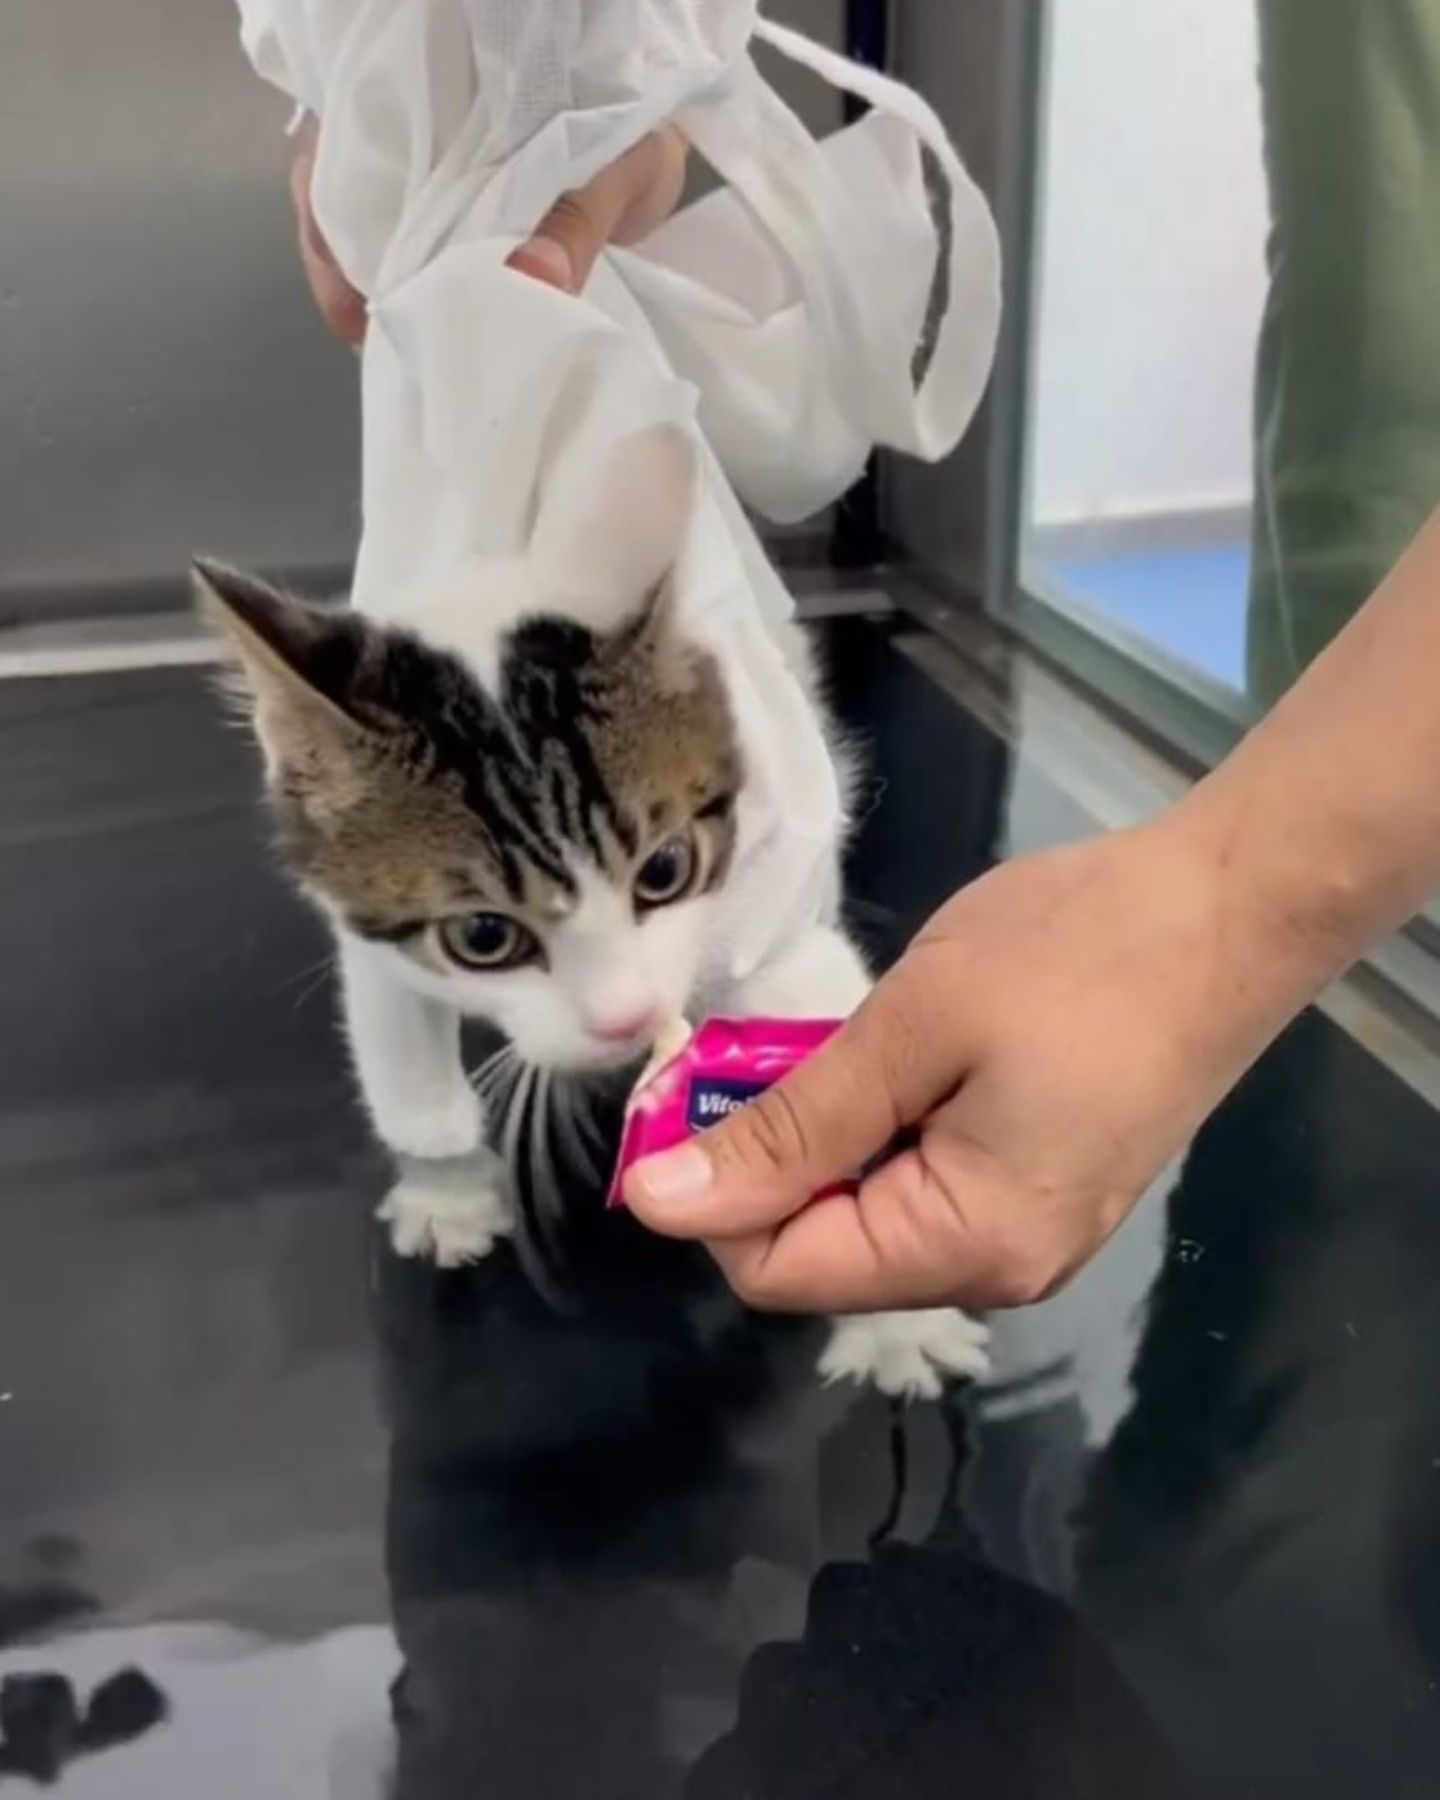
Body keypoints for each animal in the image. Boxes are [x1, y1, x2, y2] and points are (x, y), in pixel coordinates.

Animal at [199, 428, 993, 1396]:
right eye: (483, 935)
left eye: (665, 869)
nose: (628, 1019)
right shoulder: (369, 937)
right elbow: (404, 1065)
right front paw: (446, 1189)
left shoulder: (773, 910)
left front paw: (897, 1320)